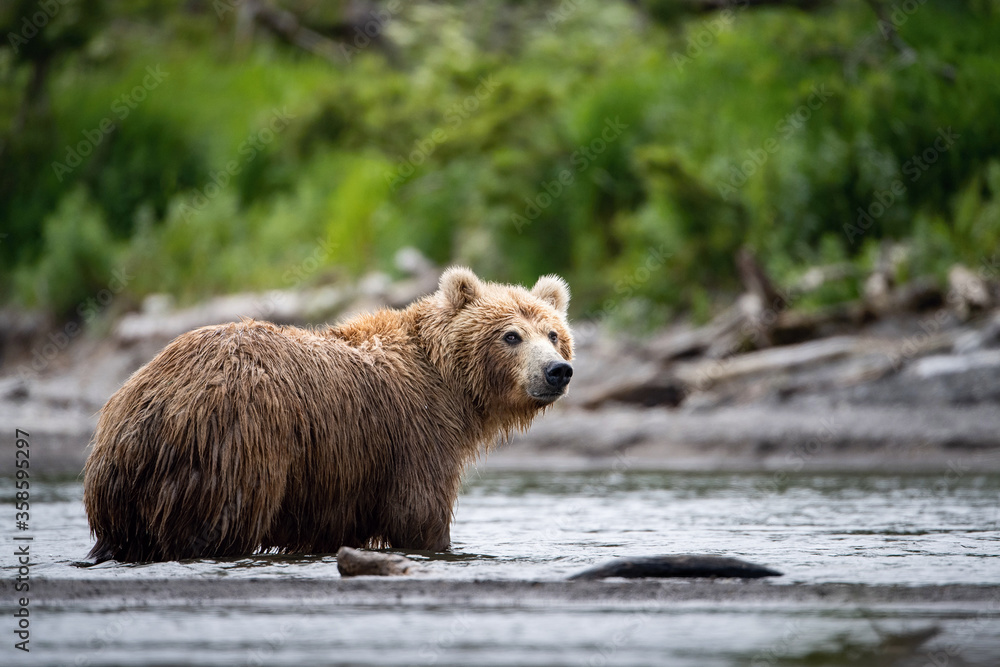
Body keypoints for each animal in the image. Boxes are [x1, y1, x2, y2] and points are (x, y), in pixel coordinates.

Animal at [83, 267, 573, 562]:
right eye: (511, 335)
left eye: (553, 333)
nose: (557, 371)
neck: (449, 383)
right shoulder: (414, 436)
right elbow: (419, 513)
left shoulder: (336, 481)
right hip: (235, 446)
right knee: (221, 524)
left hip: (121, 481)